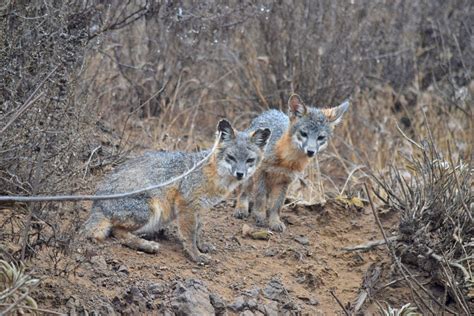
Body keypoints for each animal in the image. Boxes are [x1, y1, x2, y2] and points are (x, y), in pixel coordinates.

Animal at [83, 119, 270, 262]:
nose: (240, 174)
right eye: (231, 157)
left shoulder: (200, 208)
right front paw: (195, 255)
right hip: (152, 210)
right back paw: (147, 245)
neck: (210, 173)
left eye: (249, 160)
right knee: (117, 231)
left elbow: (198, 230)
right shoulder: (187, 204)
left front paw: (201, 246)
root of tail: (97, 204)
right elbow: (190, 234)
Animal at [233, 94, 348, 232]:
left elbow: (276, 205)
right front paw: (259, 215)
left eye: (320, 137)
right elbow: (260, 197)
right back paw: (241, 209)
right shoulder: (261, 172)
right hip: (249, 174)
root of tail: (269, 111)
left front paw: (274, 221)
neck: (286, 160)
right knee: (243, 191)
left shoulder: (285, 180)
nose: (311, 151)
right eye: (304, 133)